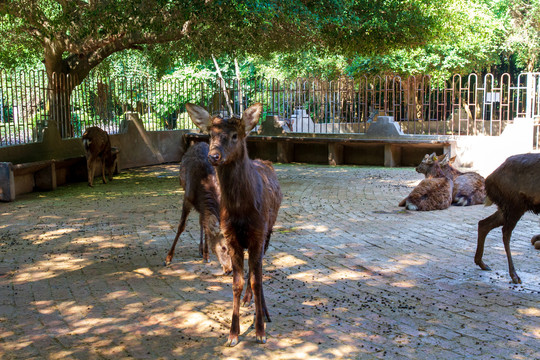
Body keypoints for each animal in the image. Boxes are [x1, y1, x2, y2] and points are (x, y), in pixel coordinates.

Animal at [165, 142, 232, 274]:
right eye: (223, 247)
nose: (229, 269)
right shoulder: (187, 198)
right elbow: (181, 226)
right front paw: (168, 258)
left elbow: (206, 226)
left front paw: (206, 255)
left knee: (202, 222)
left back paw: (202, 251)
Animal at [186, 101, 282, 346]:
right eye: (211, 134)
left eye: (234, 135)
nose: (214, 155)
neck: (240, 211)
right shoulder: (230, 237)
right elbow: (237, 282)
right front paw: (233, 334)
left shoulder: (258, 233)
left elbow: (257, 280)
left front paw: (260, 332)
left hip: (269, 230)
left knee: (259, 271)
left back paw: (263, 311)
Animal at [472, 153, 540, 284]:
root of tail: (489, 179)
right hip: (515, 204)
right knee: (505, 232)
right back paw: (514, 275)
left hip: (506, 207)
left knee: (483, 224)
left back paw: (482, 263)